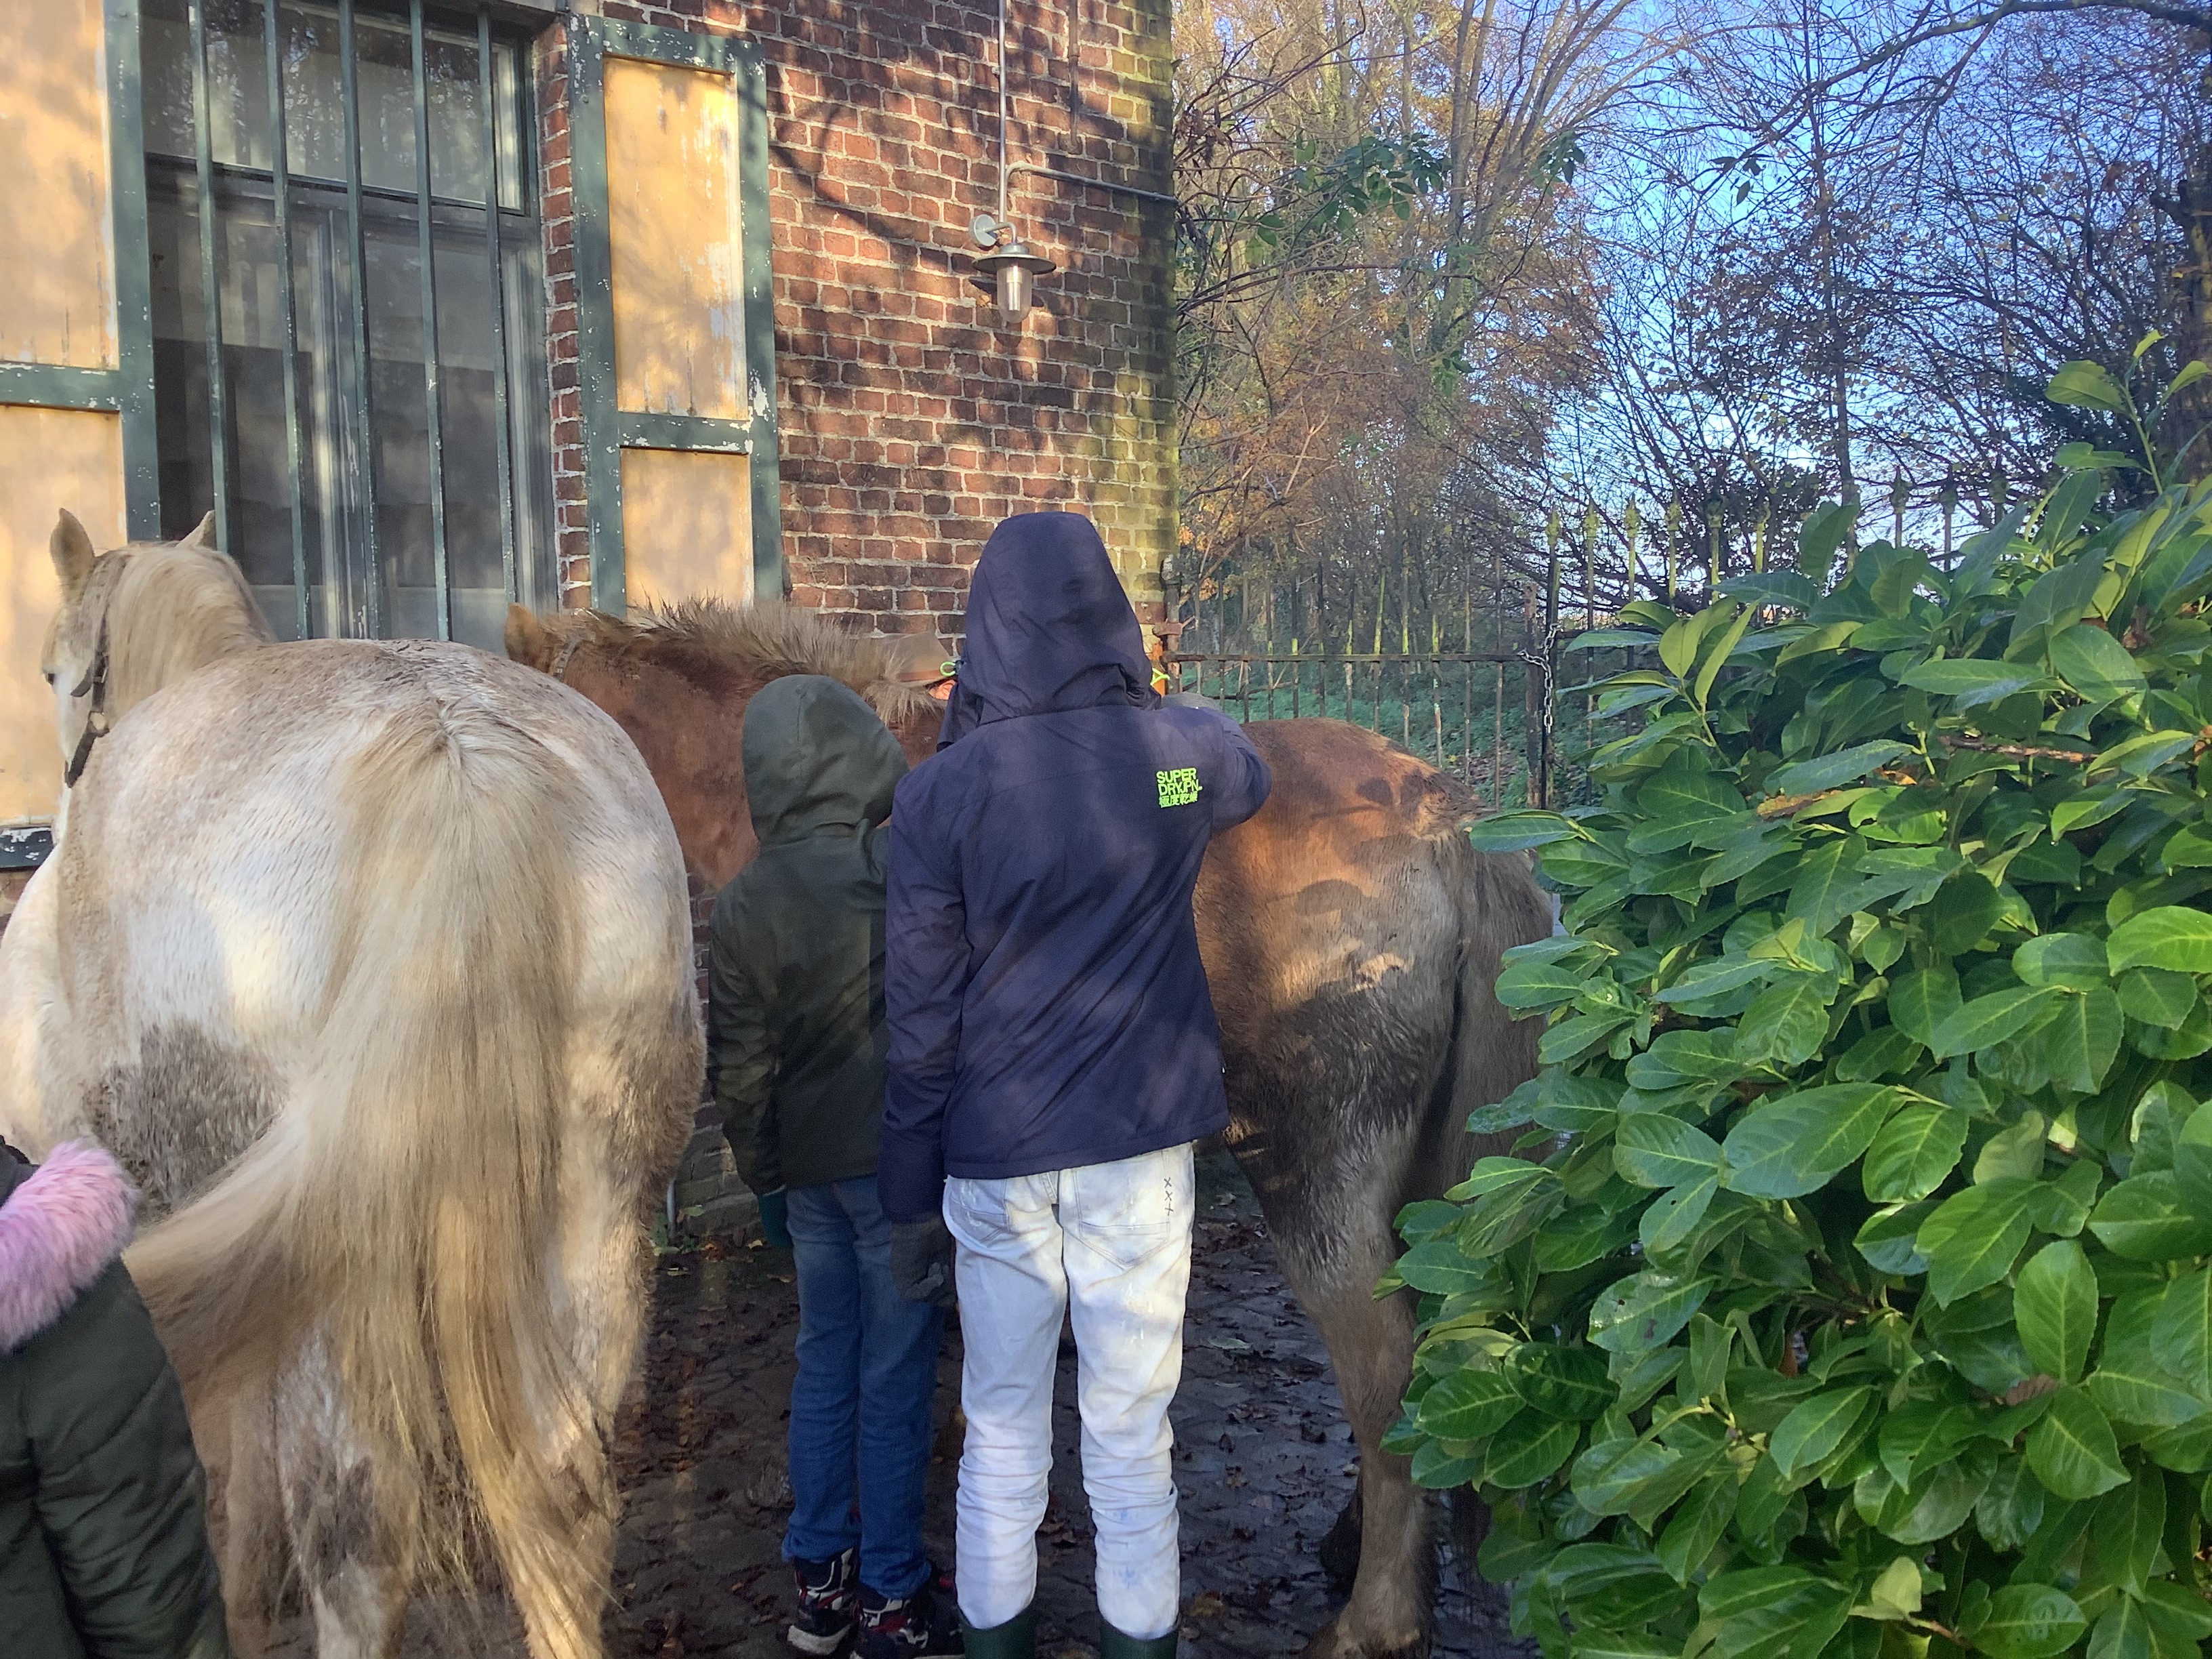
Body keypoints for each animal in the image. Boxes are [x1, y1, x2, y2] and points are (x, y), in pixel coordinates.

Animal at [0, 512, 705, 1659]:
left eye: (56, 672)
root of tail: (455, 749)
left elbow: (233, 1493)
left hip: (331, 1268)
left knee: (359, 1524)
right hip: (598, 1210)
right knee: (566, 1487)